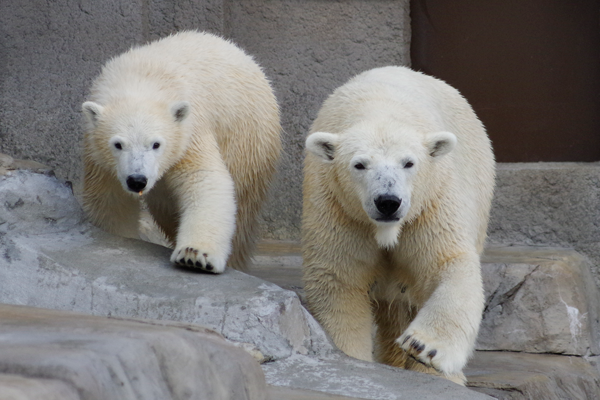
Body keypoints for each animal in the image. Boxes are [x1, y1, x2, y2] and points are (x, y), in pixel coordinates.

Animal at [80, 32, 284, 274]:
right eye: (118, 144)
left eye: (156, 144)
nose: (137, 180)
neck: (140, 81)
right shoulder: (99, 156)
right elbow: (109, 201)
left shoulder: (188, 133)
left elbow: (203, 180)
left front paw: (194, 256)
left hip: (247, 143)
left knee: (242, 213)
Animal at [302, 65, 494, 384]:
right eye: (359, 165)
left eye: (409, 163)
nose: (388, 202)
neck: (379, 109)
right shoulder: (341, 210)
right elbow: (339, 280)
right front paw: (348, 359)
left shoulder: (428, 205)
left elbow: (448, 263)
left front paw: (424, 347)